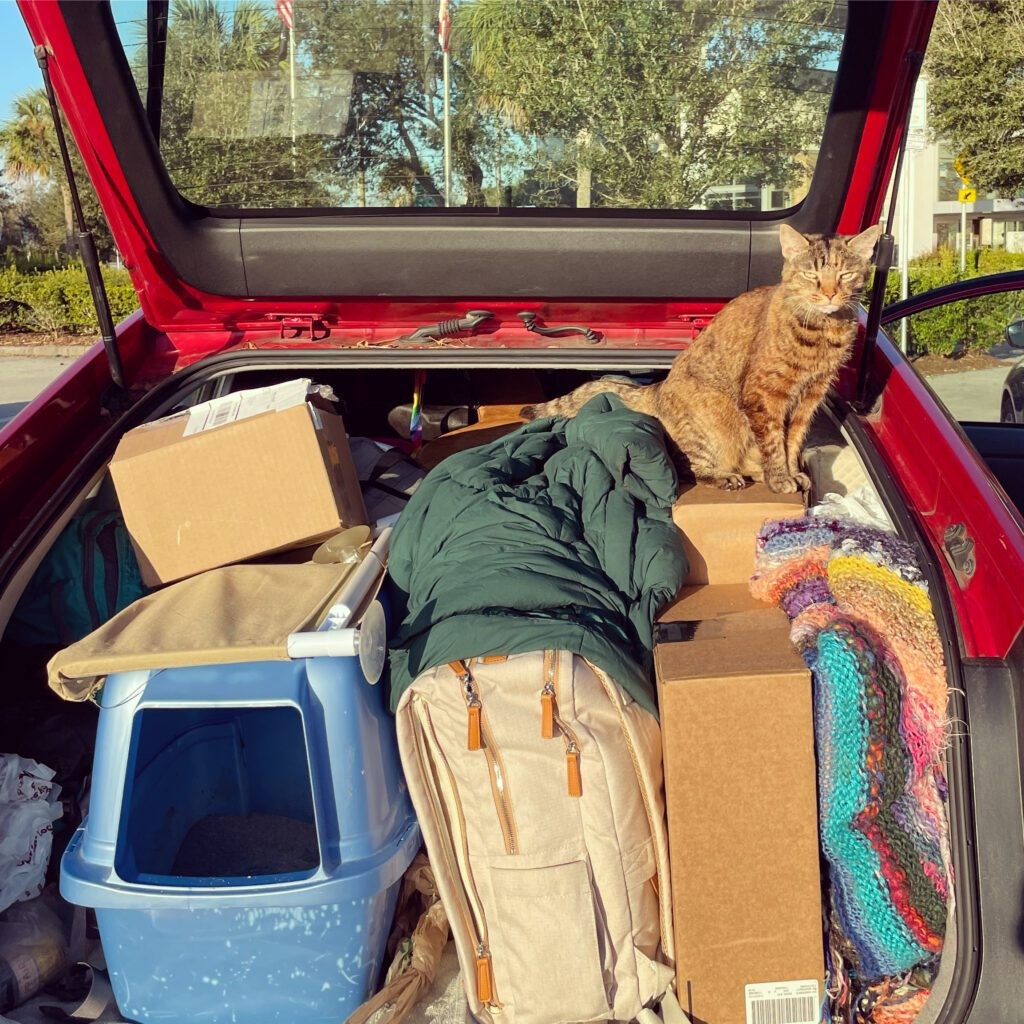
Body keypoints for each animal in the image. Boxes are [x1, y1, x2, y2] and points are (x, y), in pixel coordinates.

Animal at [520, 225, 880, 495]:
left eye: (845, 274)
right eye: (810, 275)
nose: (830, 293)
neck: (823, 330)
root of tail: (659, 389)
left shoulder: (809, 398)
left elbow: (792, 441)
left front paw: (791, 473)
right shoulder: (765, 396)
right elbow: (774, 443)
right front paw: (780, 478)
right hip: (714, 422)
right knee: (686, 467)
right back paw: (727, 477)